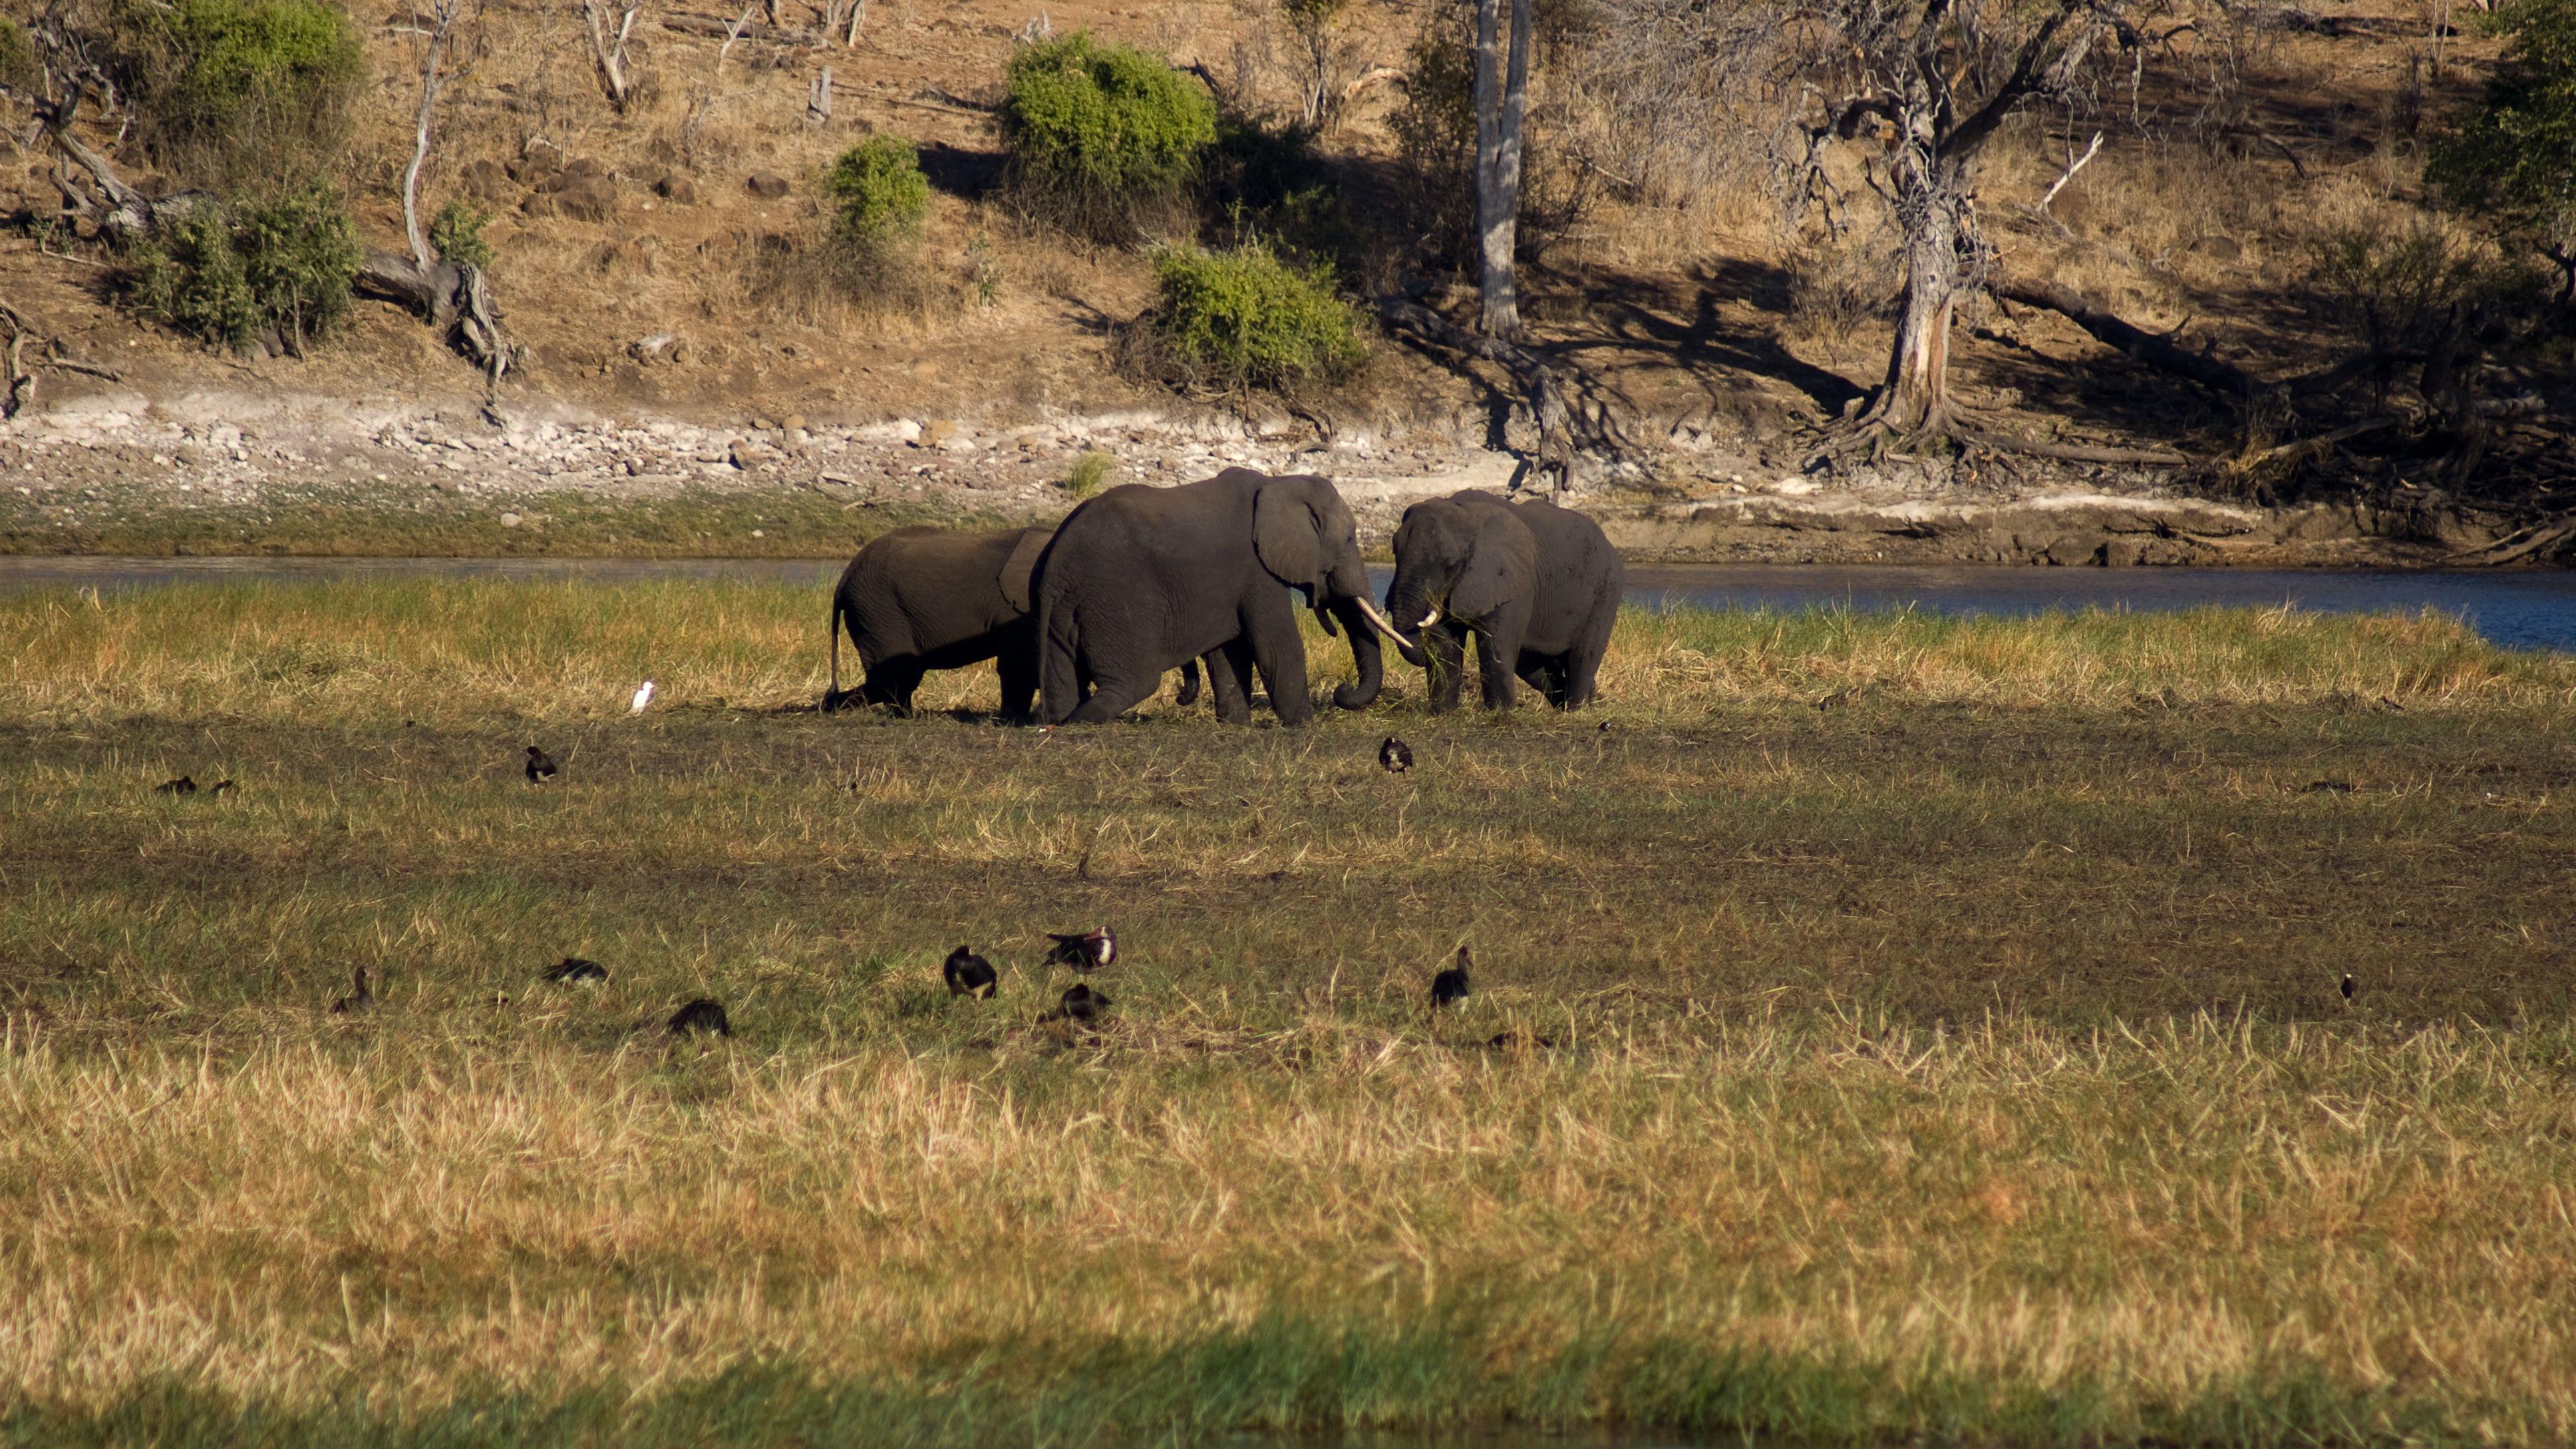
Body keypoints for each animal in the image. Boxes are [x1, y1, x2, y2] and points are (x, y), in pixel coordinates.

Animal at [824, 523, 1206, 717]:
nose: (1179, 698)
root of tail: (843, 580)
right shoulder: (1018, 607)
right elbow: (1020, 663)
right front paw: (1014, 717)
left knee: (895, 680)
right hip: (879, 610)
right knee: (896, 677)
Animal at [1035, 469, 1422, 722]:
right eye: (1350, 539)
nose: (1342, 691)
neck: (1278, 482)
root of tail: (1057, 559)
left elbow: (1227, 651)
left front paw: (1236, 725)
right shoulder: (1256, 569)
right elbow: (1276, 647)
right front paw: (1302, 727)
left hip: (1067, 609)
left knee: (1062, 685)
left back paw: (1058, 720)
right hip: (1116, 600)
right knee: (1133, 684)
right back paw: (1082, 720)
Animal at [1380, 487, 1617, 706]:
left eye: (1450, 563)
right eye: (1394, 552)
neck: (1466, 513)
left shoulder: (1510, 582)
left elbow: (1495, 647)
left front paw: (1502, 713)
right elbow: (1445, 643)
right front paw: (1442, 714)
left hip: (1606, 591)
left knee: (1583, 657)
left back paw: (1576, 709)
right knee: (1530, 664)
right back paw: (1574, 704)